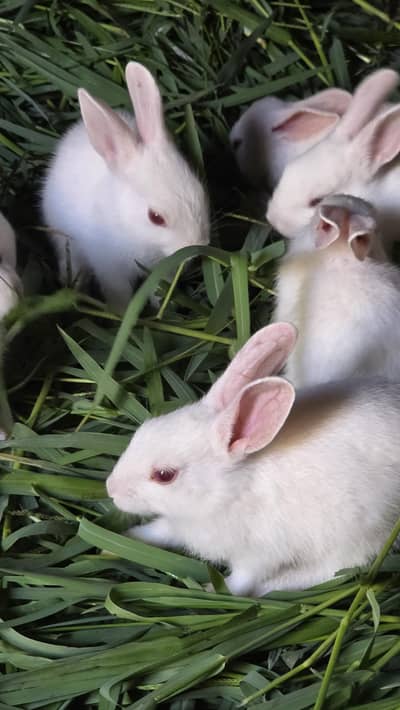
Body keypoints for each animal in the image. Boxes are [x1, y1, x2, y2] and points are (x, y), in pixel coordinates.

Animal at [41, 62, 210, 314]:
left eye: (200, 190)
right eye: (155, 217)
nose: (198, 245)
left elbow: (157, 287)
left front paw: (162, 307)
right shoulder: (110, 267)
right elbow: (118, 292)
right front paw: (119, 313)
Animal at [106, 322, 400, 597]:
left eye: (164, 475)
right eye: (142, 431)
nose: (110, 489)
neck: (229, 492)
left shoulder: (260, 555)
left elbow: (241, 580)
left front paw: (213, 591)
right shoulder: (176, 524)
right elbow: (157, 530)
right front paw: (122, 538)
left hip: (356, 534)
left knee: (332, 570)